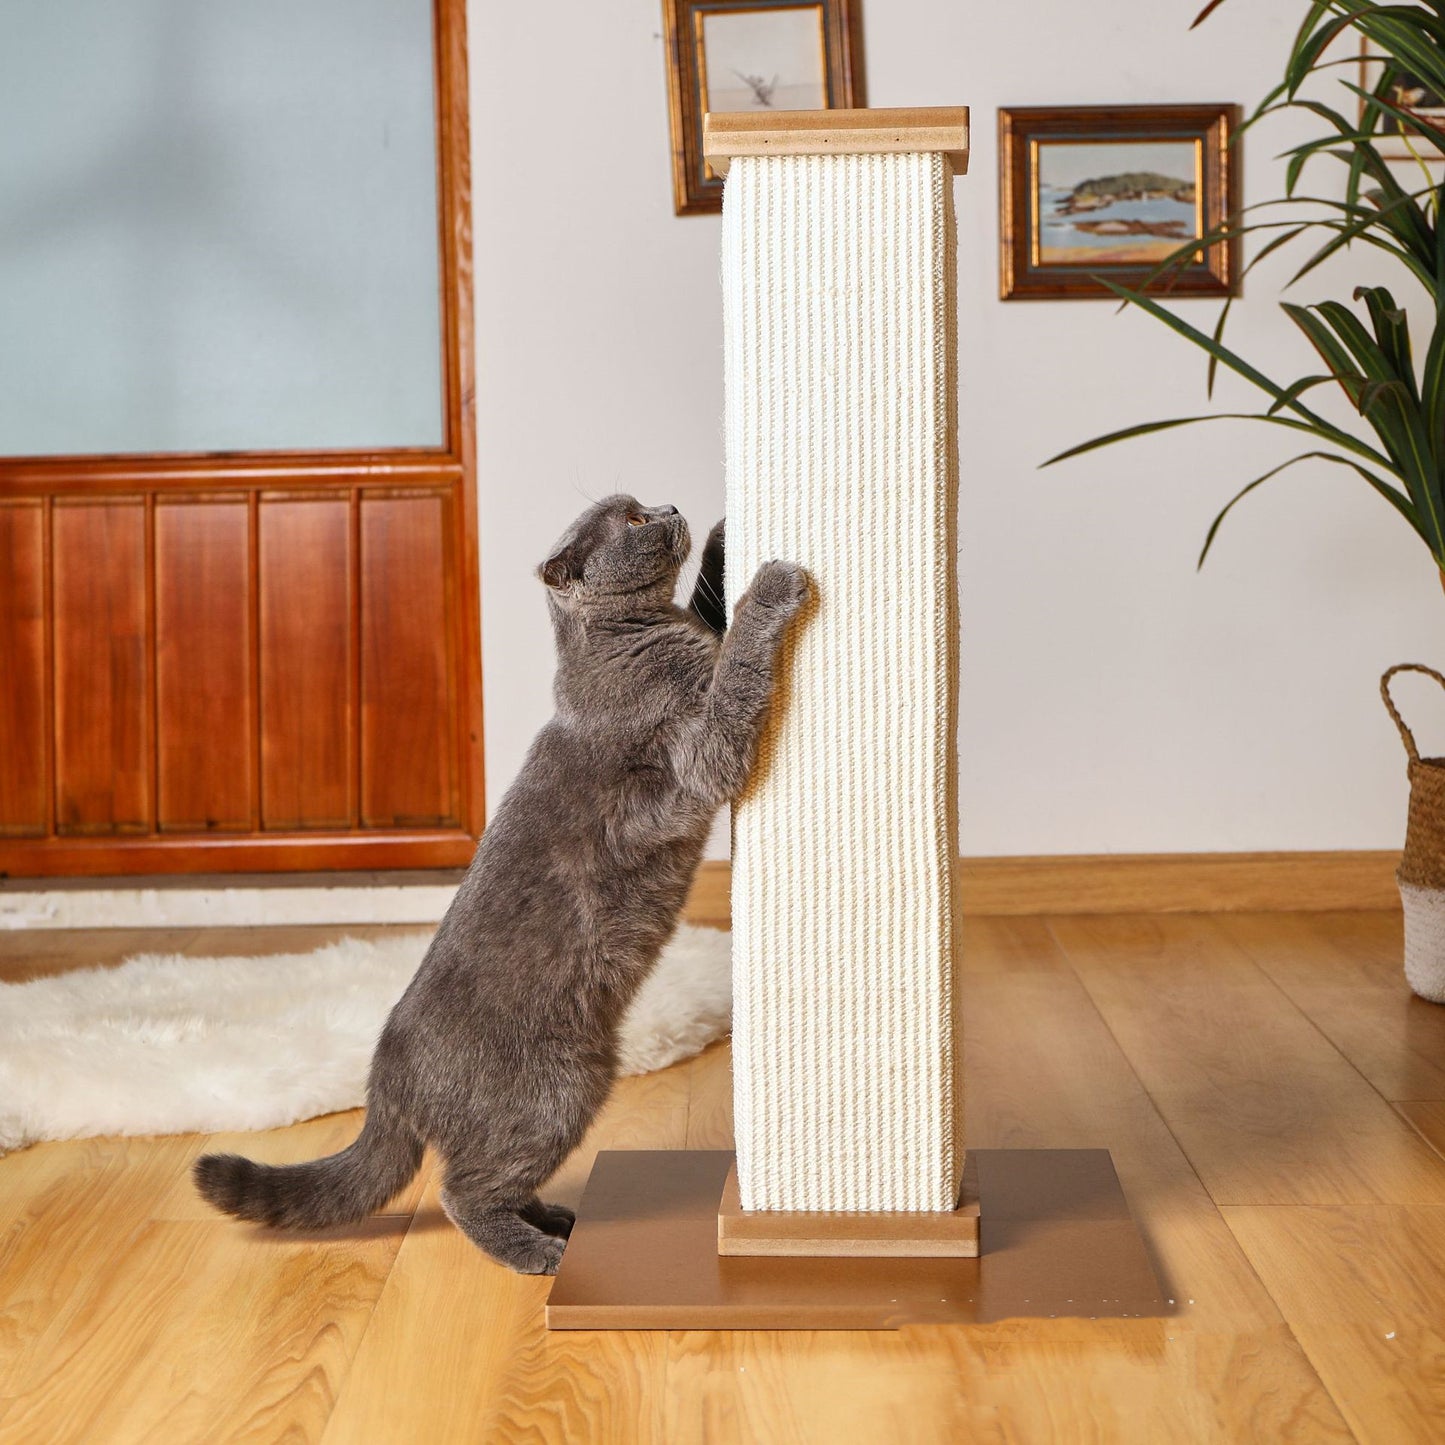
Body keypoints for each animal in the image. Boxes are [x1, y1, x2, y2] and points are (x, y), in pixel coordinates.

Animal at [193, 499, 809, 1277]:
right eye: (633, 520)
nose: (669, 507)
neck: (634, 634)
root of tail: (385, 1076)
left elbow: (711, 609)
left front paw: (725, 536)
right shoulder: (699, 750)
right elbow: (735, 672)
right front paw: (771, 582)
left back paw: (555, 1218)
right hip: (558, 1088)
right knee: (463, 1190)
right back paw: (535, 1250)